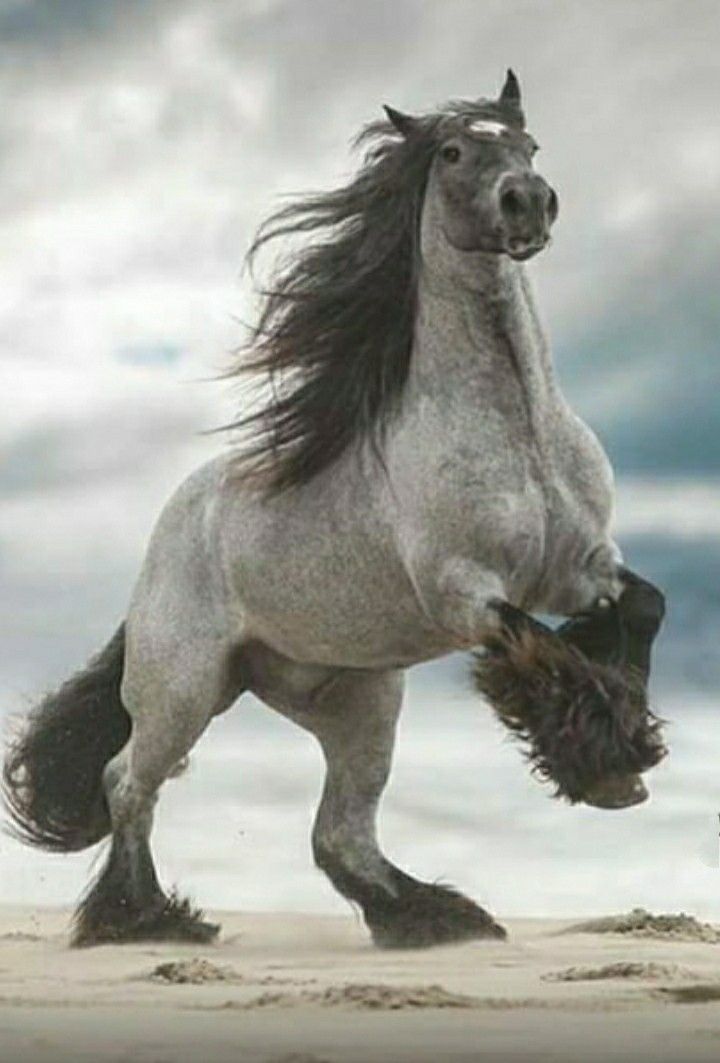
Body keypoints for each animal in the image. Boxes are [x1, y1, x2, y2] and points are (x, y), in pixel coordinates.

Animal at [2, 77, 663, 956]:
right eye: (454, 151)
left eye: (530, 147)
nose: (528, 202)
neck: (519, 428)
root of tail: (166, 537)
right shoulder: (466, 592)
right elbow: (539, 646)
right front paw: (603, 761)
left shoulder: (582, 564)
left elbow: (640, 608)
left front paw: (623, 750)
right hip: (185, 690)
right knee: (127, 782)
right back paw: (147, 918)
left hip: (358, 701)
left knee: (338, 831)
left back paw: (434, 917)